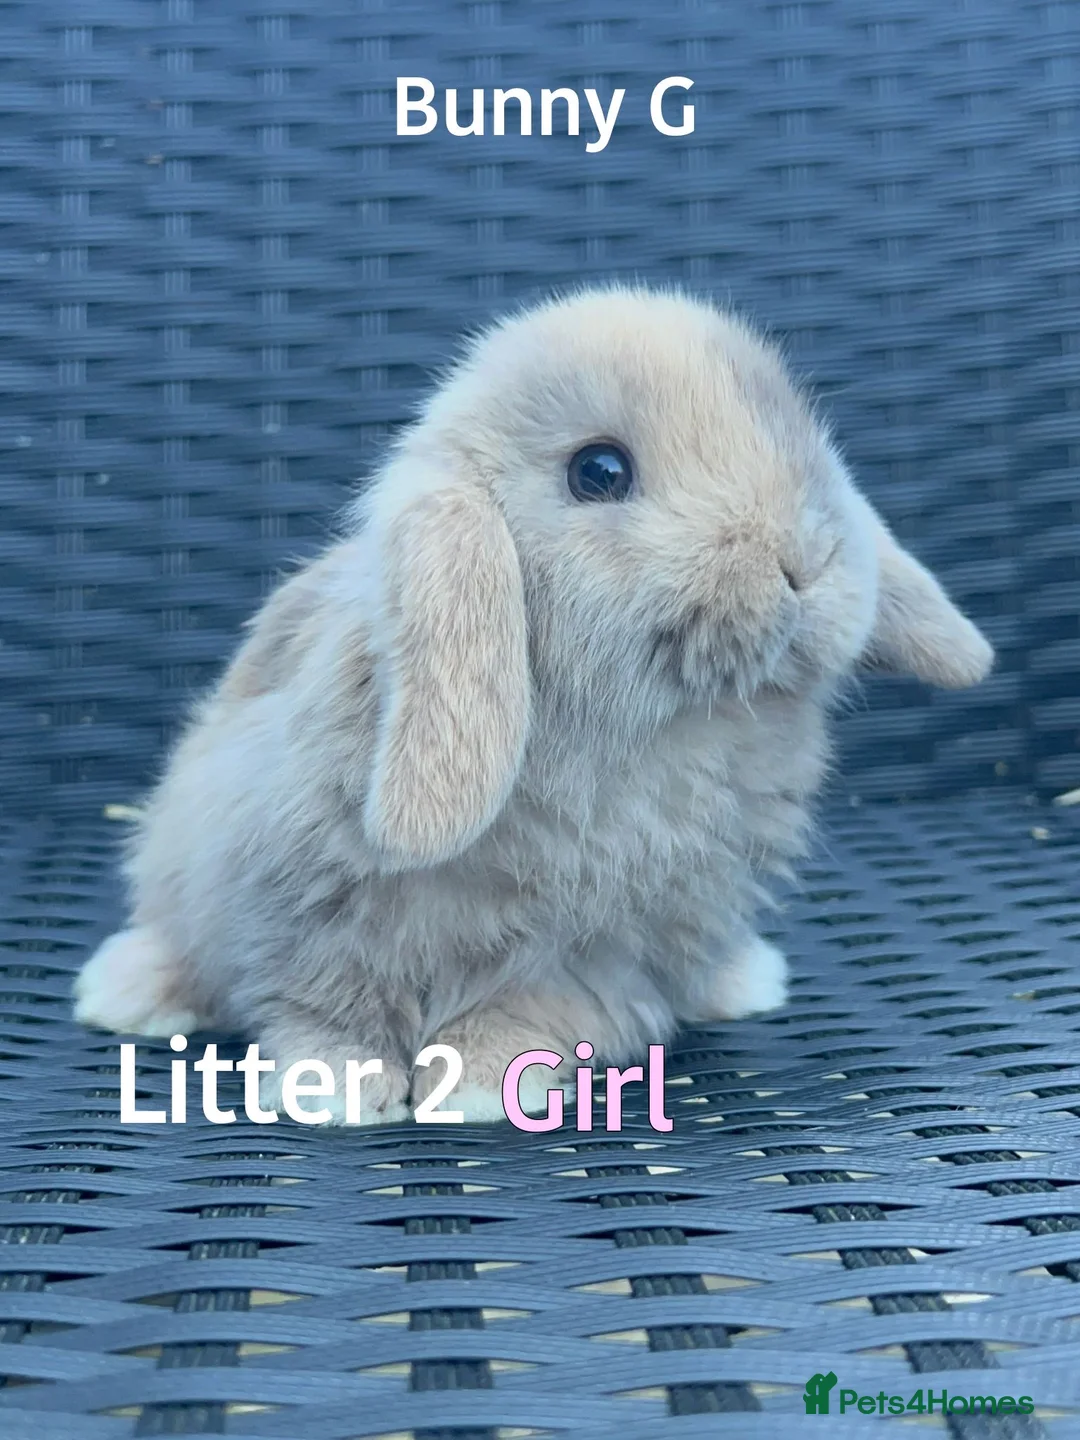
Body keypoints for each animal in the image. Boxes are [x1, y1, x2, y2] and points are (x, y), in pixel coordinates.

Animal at [74, 285, 994, 1124]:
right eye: (600, 471)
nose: (803, 560)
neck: (648, 733)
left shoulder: (608, 949)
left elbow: (539, 1012)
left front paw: (480, 1083)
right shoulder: (305, 909)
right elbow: (324, 1010)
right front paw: (333, 1093)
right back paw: (124, 992)